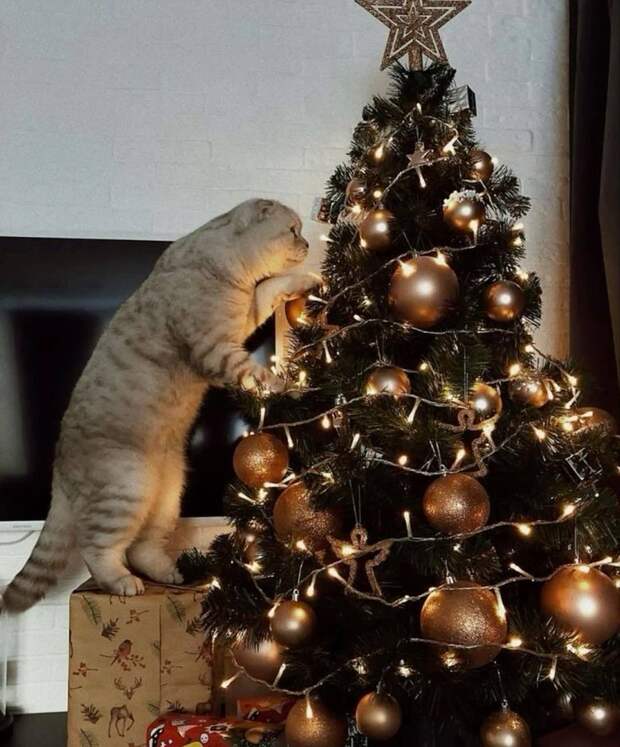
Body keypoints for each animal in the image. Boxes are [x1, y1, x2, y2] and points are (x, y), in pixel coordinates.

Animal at [1, 198, 317, 612]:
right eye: (293, 230)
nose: (309, 245)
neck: (224, 268)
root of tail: (59, 470)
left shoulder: (243, 320)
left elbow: (272, 286)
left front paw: (309, 279)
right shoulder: (217, 350)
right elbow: (258, 374)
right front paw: (290, 387)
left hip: (168, 491)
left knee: (142, 547)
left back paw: (170, 573)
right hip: (128, 484)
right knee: (97, 548)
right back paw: (122, 582)